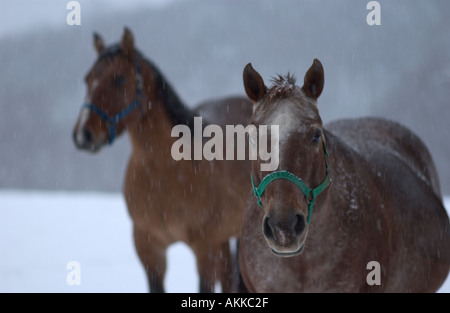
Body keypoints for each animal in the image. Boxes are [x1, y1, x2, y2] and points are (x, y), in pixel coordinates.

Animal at [72, 28, 251, 292]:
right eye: (87, 79)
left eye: (119, 79)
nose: (83, 134)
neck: (164, 172)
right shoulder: (149, 248)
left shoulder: (204, 249)